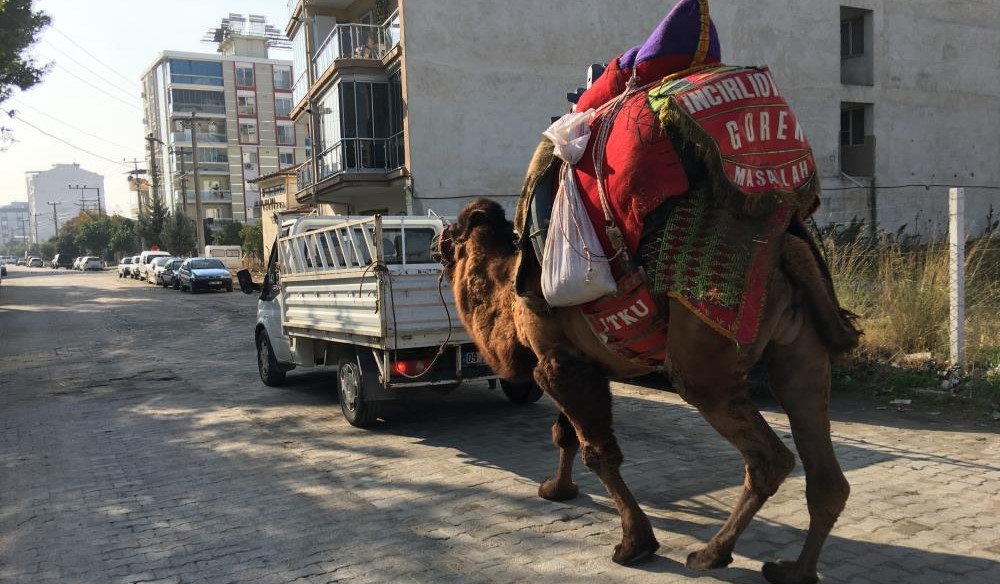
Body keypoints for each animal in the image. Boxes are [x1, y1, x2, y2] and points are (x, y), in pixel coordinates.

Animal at [434, 189, 864, 580]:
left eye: (453, 230)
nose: (437, 242)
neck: (508, 289)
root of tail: (785, 249)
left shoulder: (558, 363)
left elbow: (597, 452)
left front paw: (634, 544)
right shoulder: (578, 359)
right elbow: (565, 434)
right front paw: (557, 488)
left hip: (703, 359)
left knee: (768, 457)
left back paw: (710, 554)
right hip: (801, 351)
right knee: (821, 462)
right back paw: (795, 570)